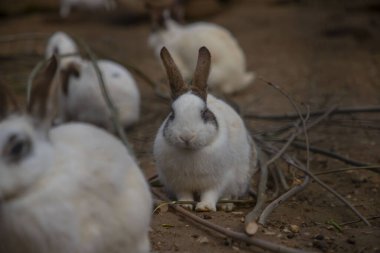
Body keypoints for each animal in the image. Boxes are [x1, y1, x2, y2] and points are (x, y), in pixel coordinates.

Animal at [152, 46, 258, 212]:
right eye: (172, 113)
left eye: (204, 112)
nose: (187, 136)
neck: (190, 151)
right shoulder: (178, 183)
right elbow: (184, 194)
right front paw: (186, 204)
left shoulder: (219, 180)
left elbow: (211, 193)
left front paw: (205, 207)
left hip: (239, 179)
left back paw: (227, 205)